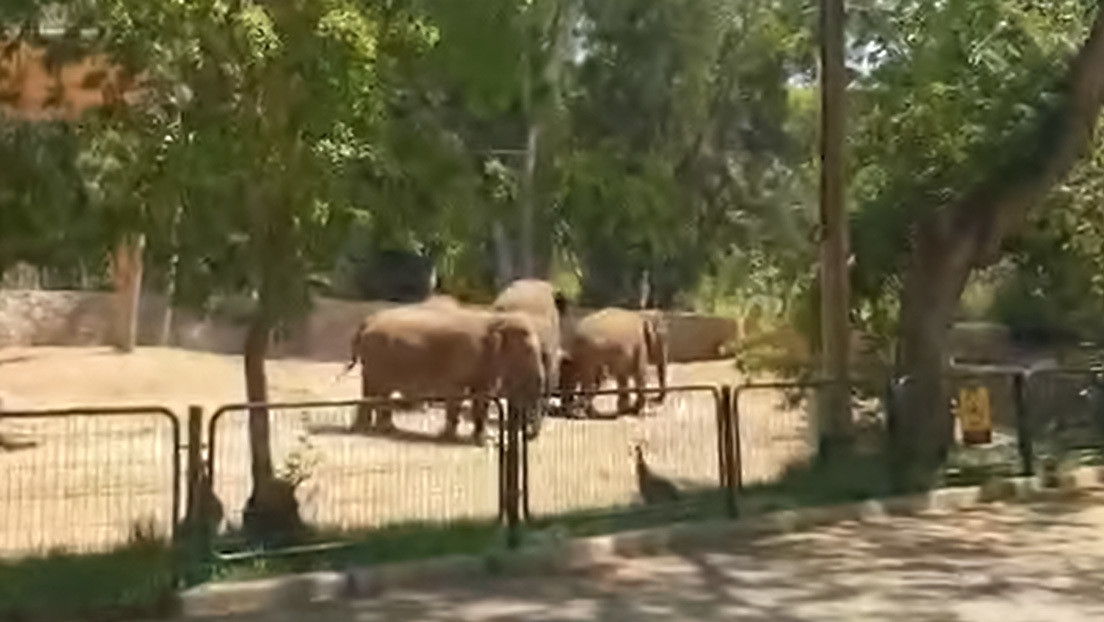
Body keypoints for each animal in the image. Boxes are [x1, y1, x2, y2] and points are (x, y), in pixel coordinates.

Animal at [346, 302, 545, 441]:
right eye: (528, 350)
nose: (528, 435)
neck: (495, 319)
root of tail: (367, 321)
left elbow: (482, 395)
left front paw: (481, 439)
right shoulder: (466, 353)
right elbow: (458, 393)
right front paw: (450, 436)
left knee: (382, 391)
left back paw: (386, 428)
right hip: (376, 357)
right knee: (374, 388)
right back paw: (366, 429)